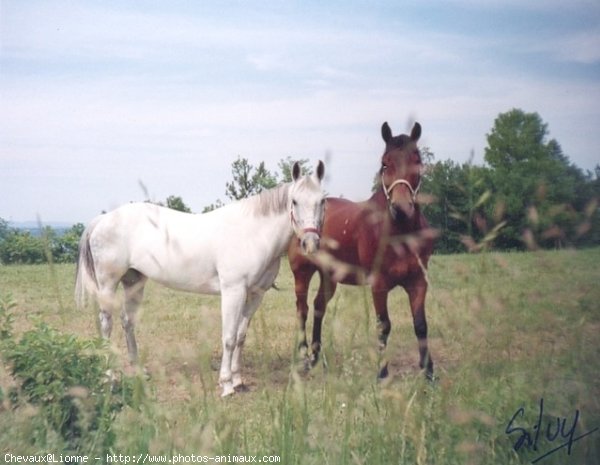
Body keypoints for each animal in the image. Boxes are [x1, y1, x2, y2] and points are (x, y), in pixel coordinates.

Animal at [77, 160, 328, 396]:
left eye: (323, 201)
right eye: (294, 201)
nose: (310, 243)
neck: (252, 234)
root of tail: (102, 220)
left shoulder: (255, 295)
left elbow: (241, 336)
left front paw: (238, 379)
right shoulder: (233, 291)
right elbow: (228, 337)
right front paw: (226, 385)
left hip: (134, 282)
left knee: (127, 321)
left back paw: (139, 370)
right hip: (108, 284)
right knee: (106, 324)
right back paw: (109, 377)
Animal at [288, 121, 434, 378]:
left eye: (417, 160)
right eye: (385, 163)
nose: (401, 208)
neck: (399, 233)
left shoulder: (418, 281)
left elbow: (420, 324)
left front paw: (428, 371)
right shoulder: (379, 284)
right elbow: (383, 325)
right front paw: (382, 372)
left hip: (329, 276)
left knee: (318, 307)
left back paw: (315, 356)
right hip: (302, 273)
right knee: (302, 310)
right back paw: (305, 358)